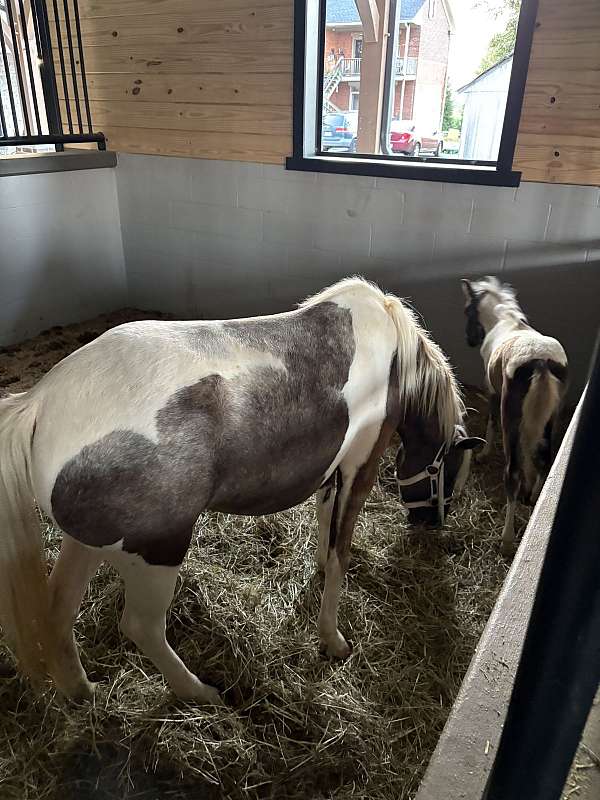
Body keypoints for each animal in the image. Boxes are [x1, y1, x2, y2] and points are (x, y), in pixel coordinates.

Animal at [0, 277, 481, 705]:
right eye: (448, 478)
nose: (430, 525)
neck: (392, 349)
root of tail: (40, 404)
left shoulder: (331, 473)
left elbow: (325, 529)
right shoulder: (357, 469)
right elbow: (340, 555)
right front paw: (332, 639)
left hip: (86, 544)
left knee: (58, 611)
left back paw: (82, 691)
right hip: (158, 551)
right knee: (141, 627)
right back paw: (198, 691)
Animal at [461, 276, 568, 554]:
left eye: (467, 310)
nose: (470, 339)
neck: (505, 321)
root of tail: (540, 361)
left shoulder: (493, 391)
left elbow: (490, 421)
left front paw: (483, 454)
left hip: (512, 414)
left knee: (513, 473)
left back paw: (507, 539)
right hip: (552, 416)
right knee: (545, 457)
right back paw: (533, 498)